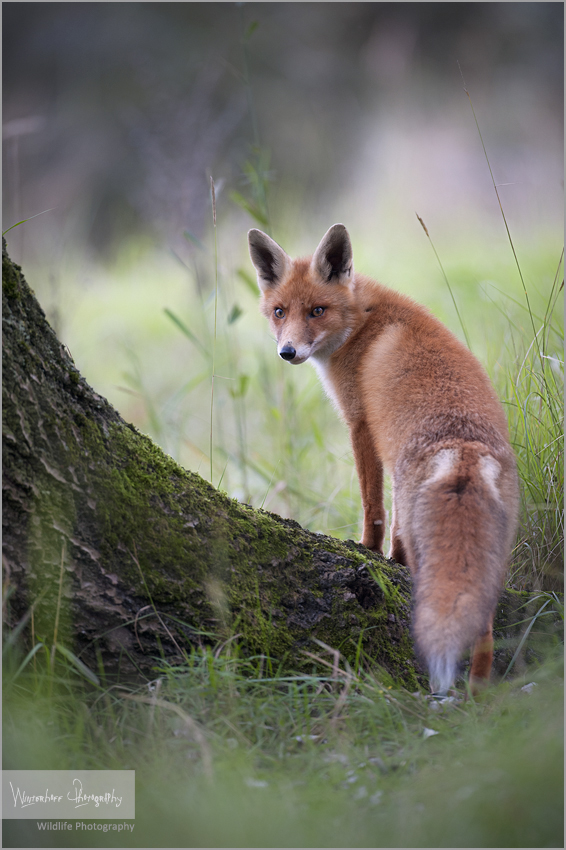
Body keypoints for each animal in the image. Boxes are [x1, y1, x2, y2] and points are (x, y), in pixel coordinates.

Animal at [251, 222, 520, 692]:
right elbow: (389, 517)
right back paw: (478, 692)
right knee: (482, 626)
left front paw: (370, 552)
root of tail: (465, 450)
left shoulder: (361, 425)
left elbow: (373, 507)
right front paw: (391, 558)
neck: (364, 321)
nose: (288, 352)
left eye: (317, 310)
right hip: (488, 558)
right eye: (279, 312)